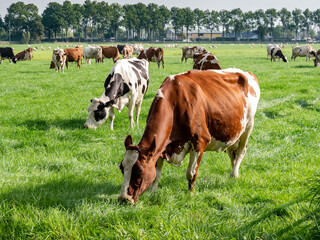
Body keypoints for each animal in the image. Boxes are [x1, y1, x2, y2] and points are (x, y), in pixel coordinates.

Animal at [119, 68, 262, 203]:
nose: (123, 199)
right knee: (232, 152)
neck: (174, 103)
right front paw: (152, 192)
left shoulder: (200, 141)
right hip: (233, 132)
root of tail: (246, 73)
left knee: (241, 151)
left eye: (138, 171)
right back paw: (234, 172)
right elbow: (157, 173)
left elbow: (191, 173)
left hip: (248, 126)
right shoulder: (160, 146)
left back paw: (234, 174)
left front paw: (190, 194)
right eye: (121, 167)